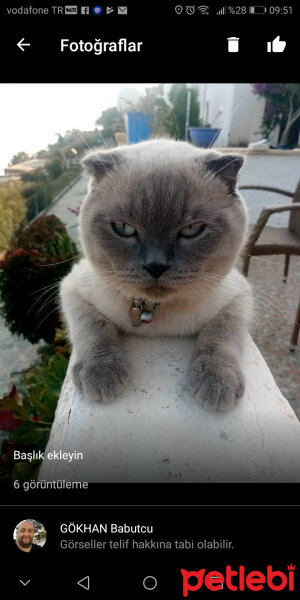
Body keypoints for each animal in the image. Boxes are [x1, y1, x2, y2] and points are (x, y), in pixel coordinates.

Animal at [59, 139, 252, 412]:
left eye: (192, 229)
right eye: (124, 228)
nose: (156, 266)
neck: (154, 310)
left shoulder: (239, 295)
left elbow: (221, 334)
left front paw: (217, 381)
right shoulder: (72, 288)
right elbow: (93, 328)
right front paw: (100, 372)